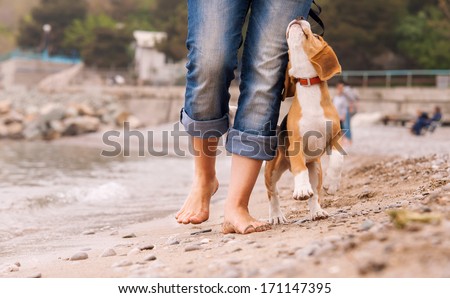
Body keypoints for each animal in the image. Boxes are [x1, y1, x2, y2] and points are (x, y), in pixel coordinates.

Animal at [266, 18, 342, 224]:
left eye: (316, 36)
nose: (299, 17)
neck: (309, 85)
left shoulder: (336, 137)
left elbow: (338, 158)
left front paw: (333, 183)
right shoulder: (296, 142)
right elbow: (299, 168)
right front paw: (301, 190)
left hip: (316, 169)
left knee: (315, 194)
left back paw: (316, 211)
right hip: (272, 170)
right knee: (272, 193)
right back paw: (276, 215)